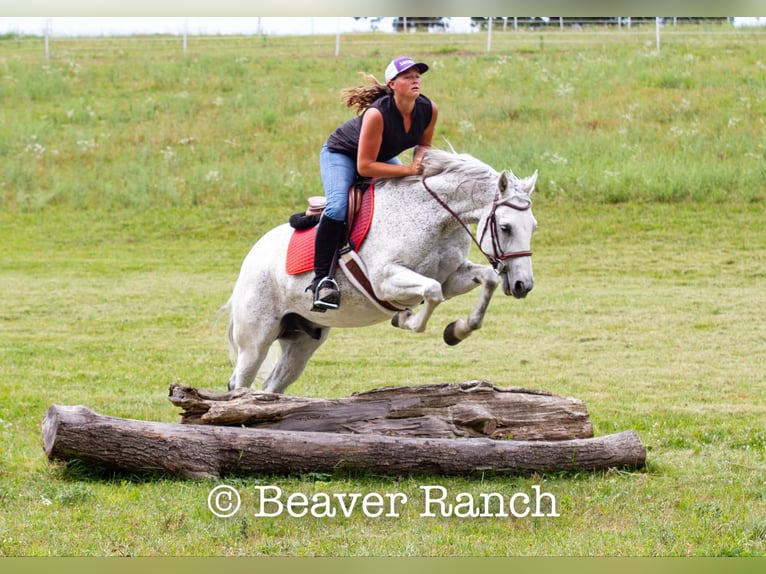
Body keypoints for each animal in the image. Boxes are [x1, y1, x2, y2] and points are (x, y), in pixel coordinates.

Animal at [224, 148, 538, 394]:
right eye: (505, 227)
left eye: (533, 227)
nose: (523, 285)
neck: (437, 220)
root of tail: (251, 258)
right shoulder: (385, 280)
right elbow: (431, 293)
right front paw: (405, 319)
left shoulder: (451, 276)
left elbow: (487, 279)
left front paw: (458, 330)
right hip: (256, 339)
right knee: (239, 382)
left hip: (302, 340)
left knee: (272, 386)